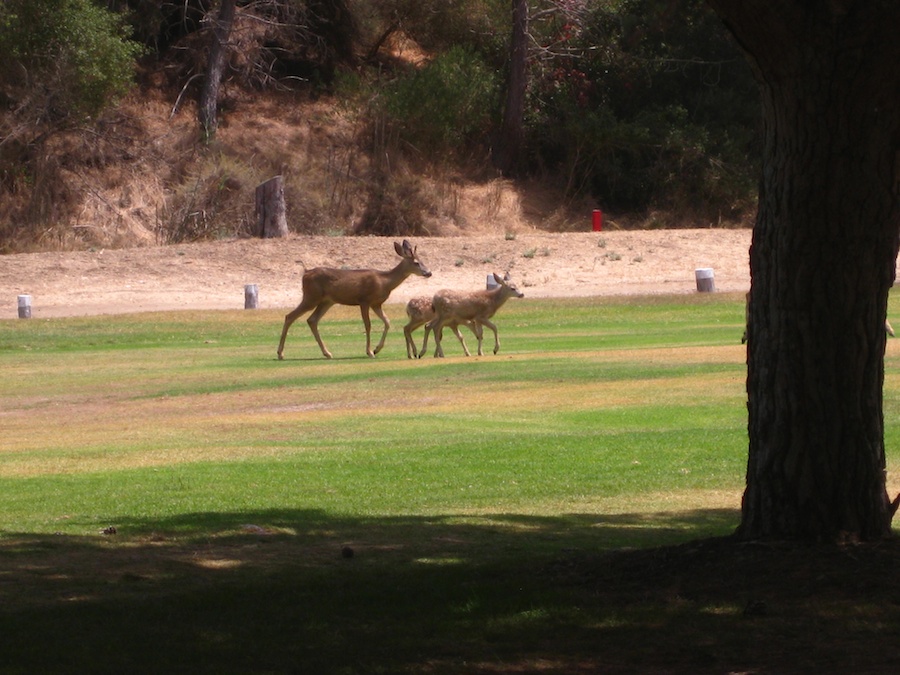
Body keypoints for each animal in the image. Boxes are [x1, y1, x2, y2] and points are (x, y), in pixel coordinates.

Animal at [278, 242, 432, 362]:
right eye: (416, 263)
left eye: (423, 260)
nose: (429, 272)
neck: (384, 282)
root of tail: (305, 272)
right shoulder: (364, 300)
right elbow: (368, 325)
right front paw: (370, 352)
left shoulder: (376, 303)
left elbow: (387, 322)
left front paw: (377, 349)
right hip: (311, 297)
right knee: (290, 316)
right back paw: (280, 354)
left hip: (326, 301)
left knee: (312, 320)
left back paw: (327, 353)